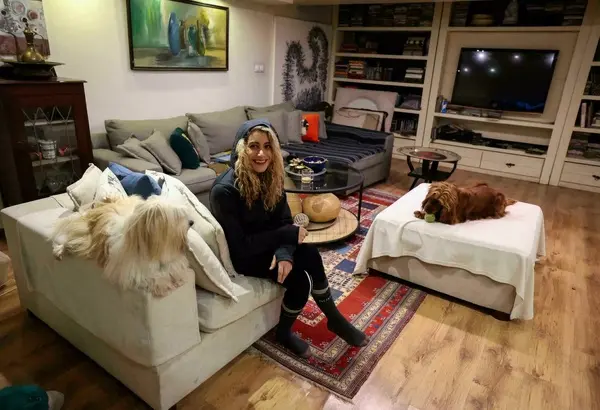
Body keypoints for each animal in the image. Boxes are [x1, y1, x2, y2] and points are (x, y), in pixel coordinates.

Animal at [51, 195, 194, 297]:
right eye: (178, 215)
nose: (192, 222)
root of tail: (106, 202)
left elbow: (172, 267)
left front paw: (177, 277)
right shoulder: (132, 270)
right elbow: (152, 276)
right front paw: (163, 284)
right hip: (86, 238)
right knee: (72, 240)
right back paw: (60, 250)